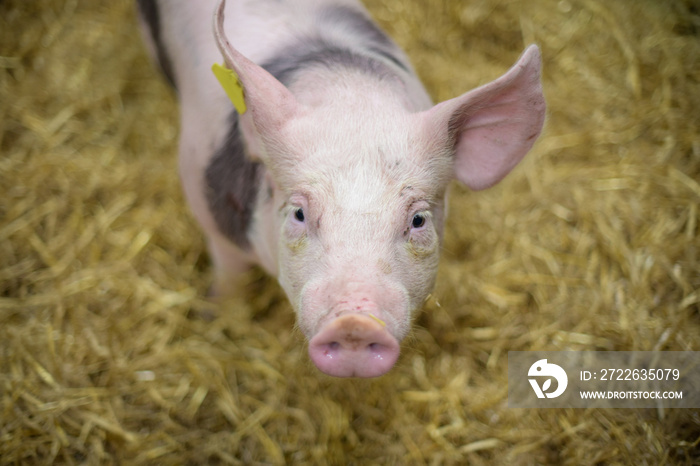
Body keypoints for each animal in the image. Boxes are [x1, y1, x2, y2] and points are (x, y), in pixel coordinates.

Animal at [135, 0, 540, 378]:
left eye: (419, 220)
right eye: (299, 213)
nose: (355, 325)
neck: (348, 93)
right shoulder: (206, 204)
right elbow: (230, 276)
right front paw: (217, 317)